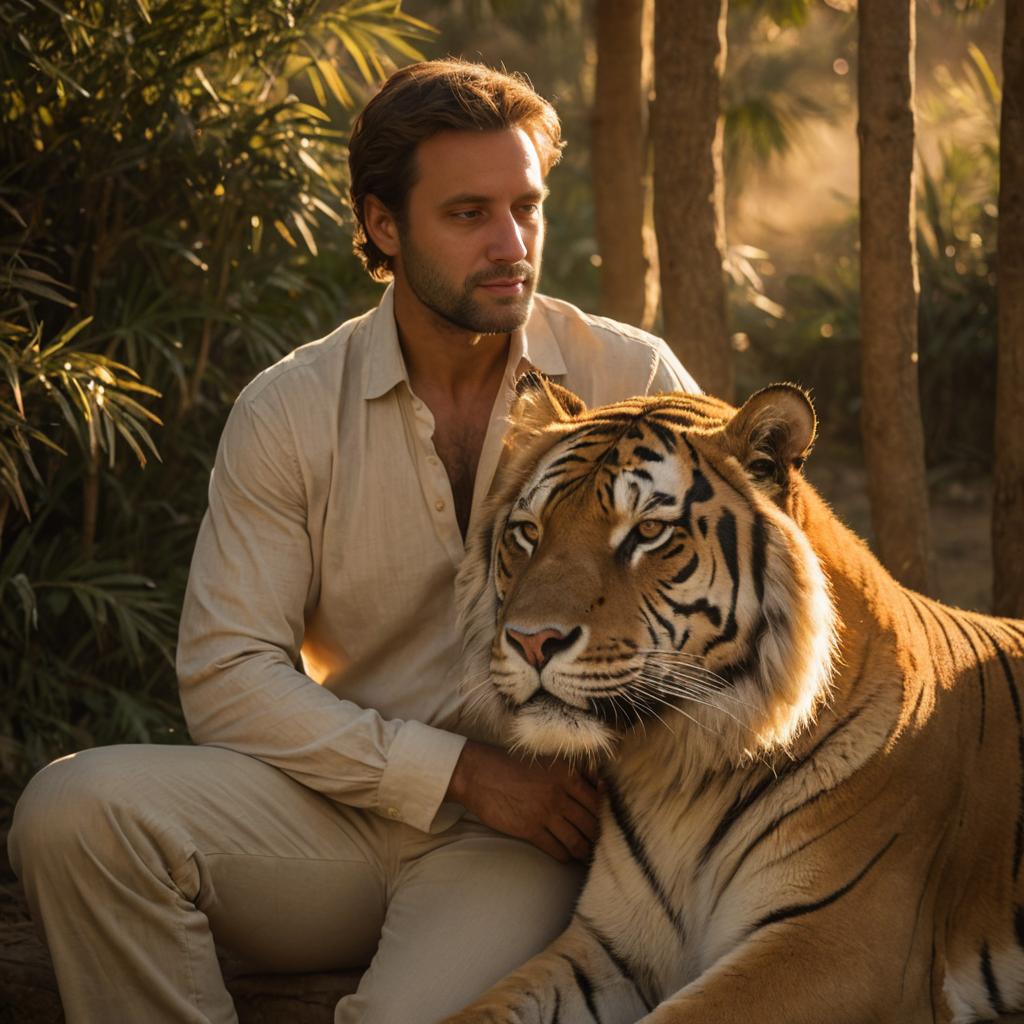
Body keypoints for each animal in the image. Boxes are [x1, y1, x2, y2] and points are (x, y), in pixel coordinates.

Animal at [444, 376, 1024, 1024]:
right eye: (530, 531)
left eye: (648, 532)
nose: (531, 640)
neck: (678, 772)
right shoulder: (610, 944)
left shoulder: (837, 947)